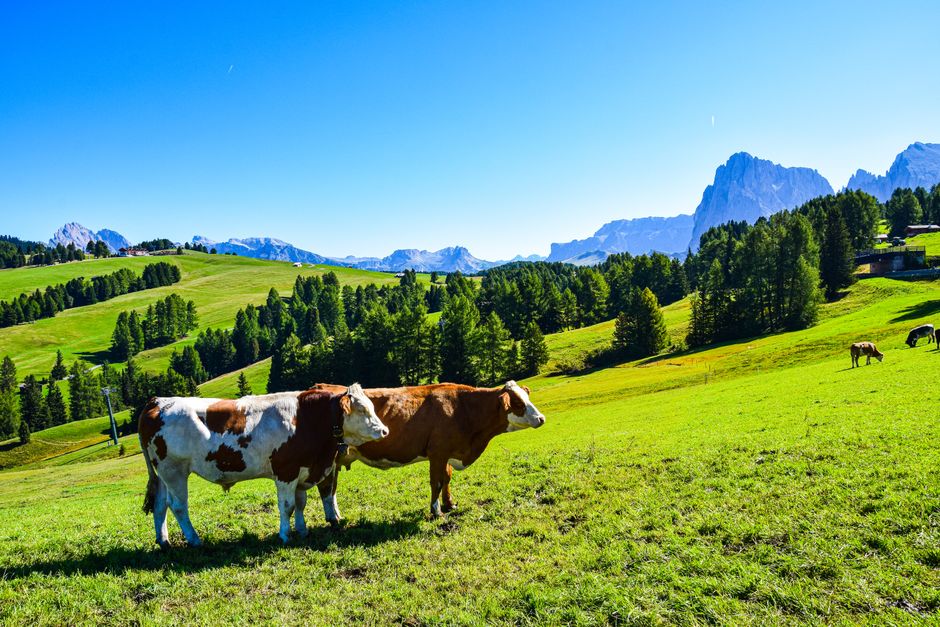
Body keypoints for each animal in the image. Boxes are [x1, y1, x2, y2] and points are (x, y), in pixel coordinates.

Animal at [138, 384, 387, 547]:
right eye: (362, 409)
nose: (385, 431)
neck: (307, 419)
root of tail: (158, 402)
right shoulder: (286, 470)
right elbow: (287, 505)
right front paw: (285, 535)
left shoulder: (302, 469)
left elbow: (300, 503)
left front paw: (303, 530)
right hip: (174, 470)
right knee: (178, 506)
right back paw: (194, 539)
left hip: (163, 474)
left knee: (160, 505)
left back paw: (164, 541)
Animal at [312, 381, 546, 520]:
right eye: (518, 403)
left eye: (527, 398)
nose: (541, 418)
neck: (463, 409)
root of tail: (321, 386)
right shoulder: (437, 453)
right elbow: (437, 482)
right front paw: (436, 511)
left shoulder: (448, 453)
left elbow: (447, 479)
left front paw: (450, 504)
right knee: (326, 488)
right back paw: (334, 519)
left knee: (331, 489)